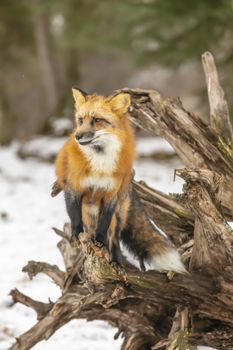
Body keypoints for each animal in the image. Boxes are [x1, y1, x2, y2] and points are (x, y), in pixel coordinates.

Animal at [52, 88, 186, 274]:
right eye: (80, 120)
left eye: (97, 120)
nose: (77, 136)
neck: (100, 164)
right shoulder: (74, 188)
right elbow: (74, 216)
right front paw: (76, 235)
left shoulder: (111, 195)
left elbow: (104, 227)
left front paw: (100, 242)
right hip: (90, 214)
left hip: (118, 216)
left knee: (114, 240)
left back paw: (116, 262)